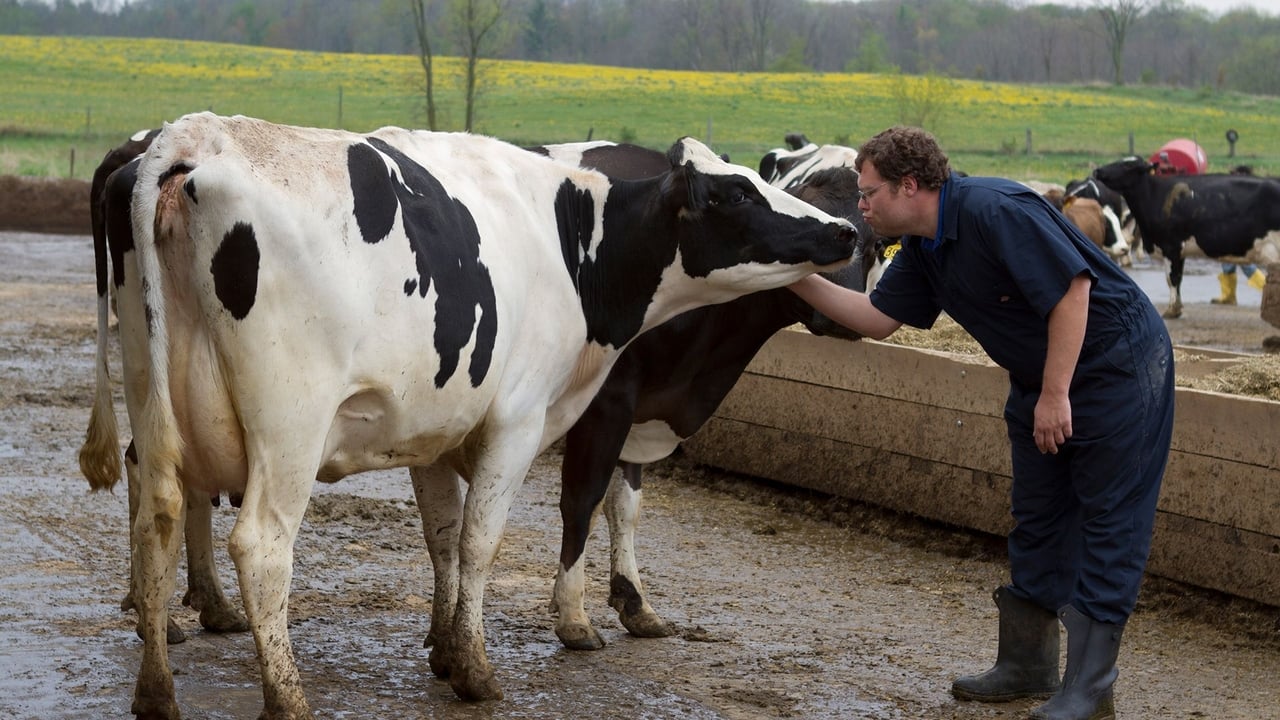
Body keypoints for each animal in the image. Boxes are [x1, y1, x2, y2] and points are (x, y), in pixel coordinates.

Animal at [524, 137, 875, 648]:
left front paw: (635, 600)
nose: (839, 317)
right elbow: (582, 499)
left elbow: (625, 505)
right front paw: (573, 614)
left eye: (875, 244)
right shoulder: (607, 400)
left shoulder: (641, 409)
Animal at [1090, 156, 1280, 316]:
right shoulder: (1179, 251)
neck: (1155, 195)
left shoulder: (1170, 246)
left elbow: (1172, 279)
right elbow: (1178, 279)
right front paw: (1178, 307)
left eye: (1128, 165)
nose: (1098, 170)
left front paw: (1172, 310)